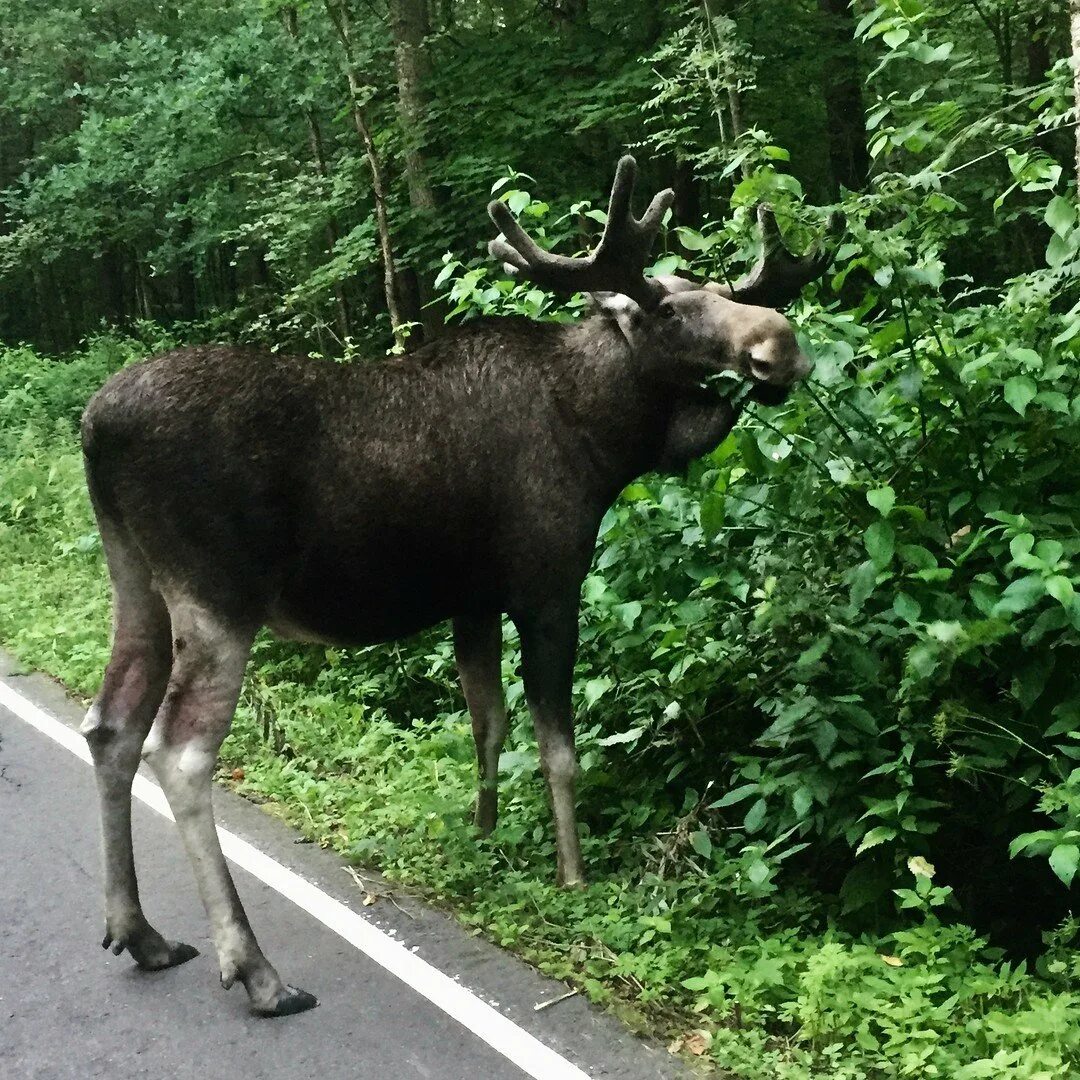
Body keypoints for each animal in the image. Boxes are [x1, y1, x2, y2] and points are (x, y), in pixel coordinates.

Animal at [78, 156, 833, 1015]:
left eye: (714, 292)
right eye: (670, 309)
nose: (779, 342)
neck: (606, 438)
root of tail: (94, 428)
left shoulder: (471, 602)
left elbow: (487, 723)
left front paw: (484, 831)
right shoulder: (547, 585)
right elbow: (558, 749)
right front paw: (573, 876)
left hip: (135, 580)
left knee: (111, 725)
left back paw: (139, 931)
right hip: (218, 596)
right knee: (180, 751)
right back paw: (256, 969)